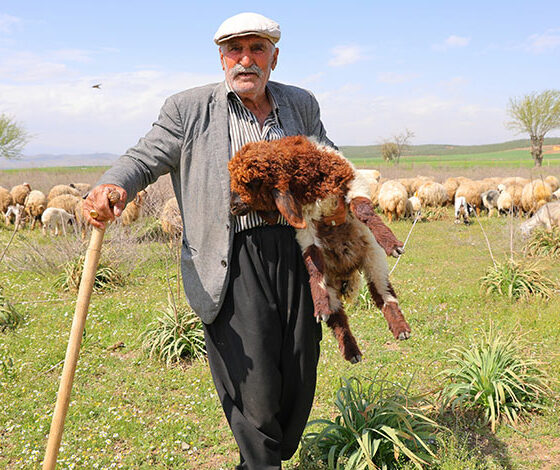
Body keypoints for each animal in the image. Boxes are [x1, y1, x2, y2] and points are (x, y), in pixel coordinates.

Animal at [229, 135, 410, 363]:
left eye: (251, 182)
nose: (232, 206)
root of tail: (346, 274)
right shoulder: (305, 223)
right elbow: (312, 260)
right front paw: (320, 305)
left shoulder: (351, 181)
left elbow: (363, 209)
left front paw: (392, 244)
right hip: (332, 285)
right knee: (338, 317)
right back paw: (351, 350)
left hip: (374, 262)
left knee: (384, 294)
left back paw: (401, 329)